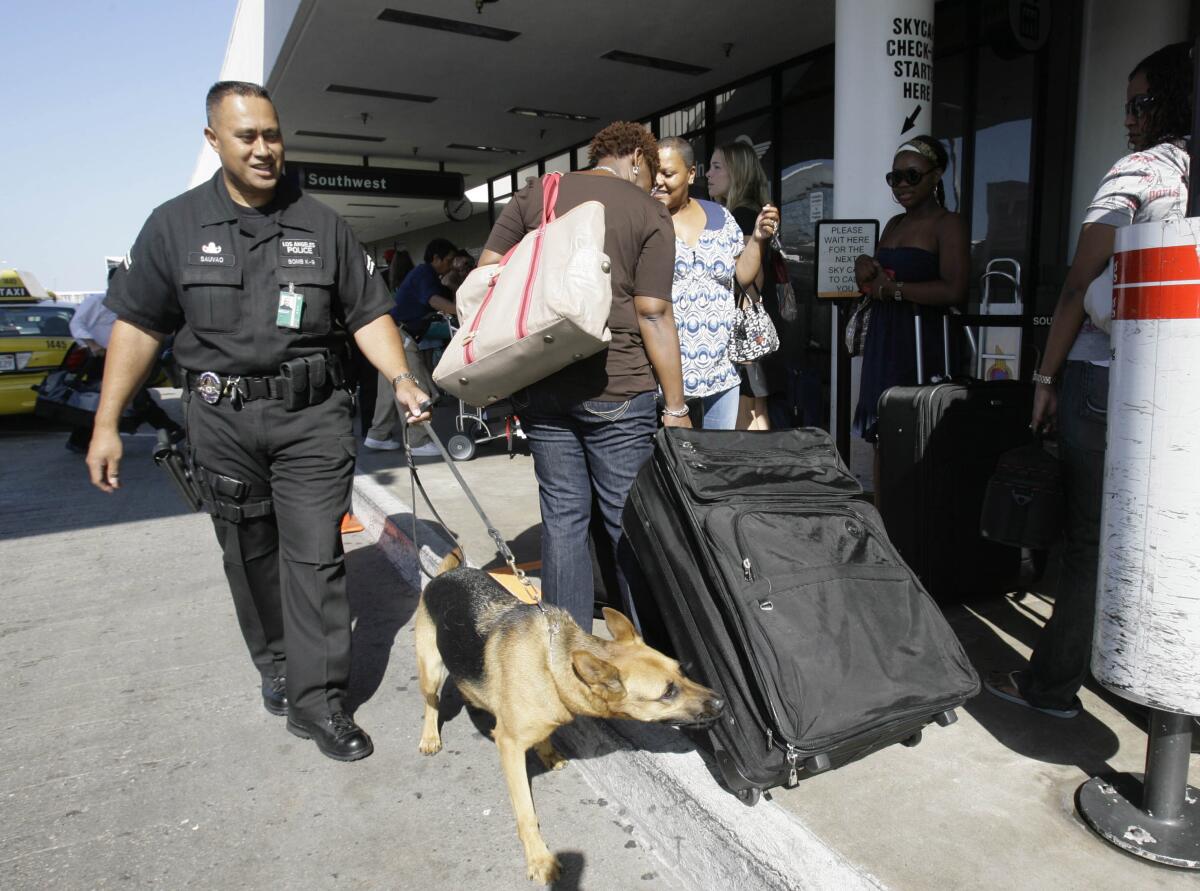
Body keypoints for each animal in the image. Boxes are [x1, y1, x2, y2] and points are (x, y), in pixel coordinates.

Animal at [422, 557, 720, 888]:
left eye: (681, 671)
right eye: (667, 692)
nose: (721, 703)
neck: (550, 666)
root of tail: (446, 574)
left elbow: (546, 734)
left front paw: (547, 752)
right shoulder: (509, 746)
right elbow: (526, 814)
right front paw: (539, 859)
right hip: (430, 670)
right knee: (431, 701)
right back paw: (430, 736)